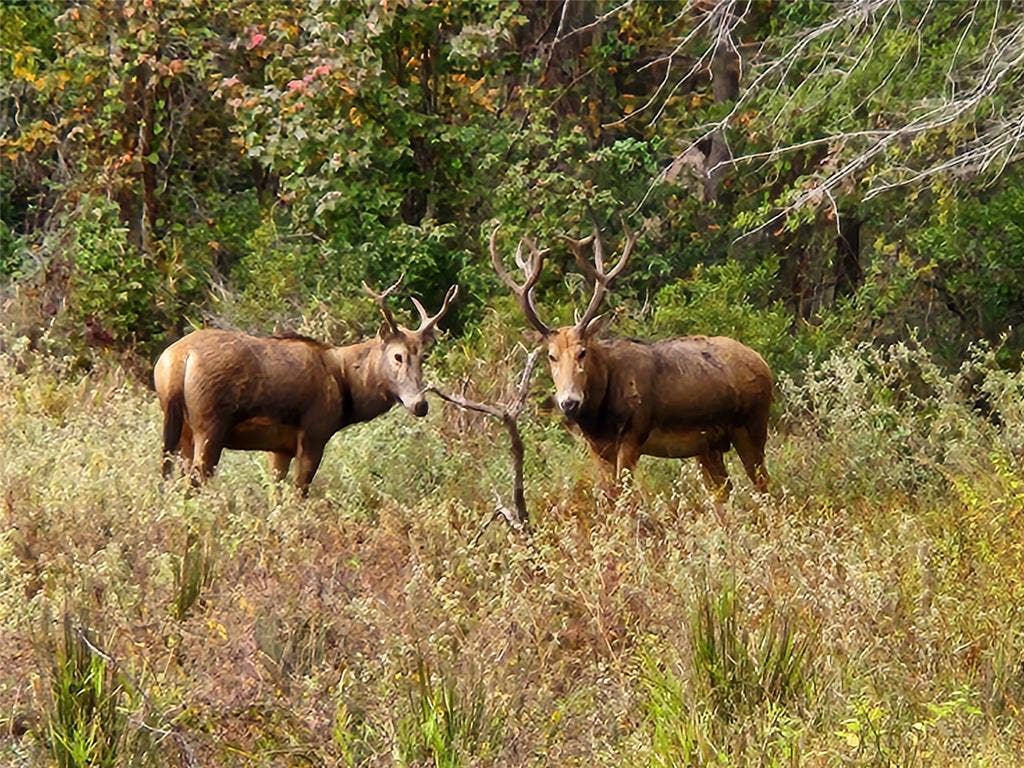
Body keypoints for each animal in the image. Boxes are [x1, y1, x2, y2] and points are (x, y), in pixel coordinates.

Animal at [153, 279, 457, 493]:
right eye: (398, 356)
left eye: (424, 356)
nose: (420, 404)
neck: (345, 385)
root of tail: (177, 361)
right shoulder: (315, 431)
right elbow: (300, 491)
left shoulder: (279, 447)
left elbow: (275, 493)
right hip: (210, 423)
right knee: (194, 482)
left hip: (181, 430)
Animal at [490, 221, 773, 499]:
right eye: (551, 356)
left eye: (582, 351)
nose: (569, 402)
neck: (600, 414)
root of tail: (763, 362)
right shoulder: (597, 447)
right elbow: (609, 496)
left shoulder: (634, 433)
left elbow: (627, 498)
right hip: (707, 445)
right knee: (724, 492)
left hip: (753, 424)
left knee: (765, 485)